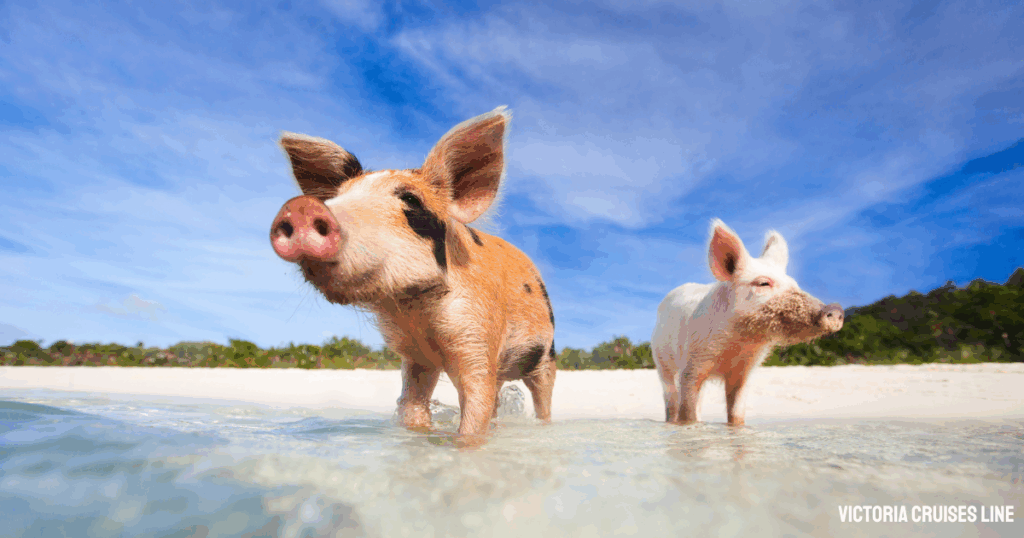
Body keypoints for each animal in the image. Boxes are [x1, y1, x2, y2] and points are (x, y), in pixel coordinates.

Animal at [269, 107, 556, 442]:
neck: (417, 312)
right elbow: (412, 407)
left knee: (542, 399)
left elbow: (475, 410)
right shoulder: (415, 357)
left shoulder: (478, 334)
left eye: (411, 201)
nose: (300, 207)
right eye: (335, 197)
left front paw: (464, 445)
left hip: (546, 355)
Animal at [651, 219, 844, 426]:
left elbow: (737, 412)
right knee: (671, 397)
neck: (740, 343)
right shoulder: (693, 362)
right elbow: (687, 411)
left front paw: (735, 427)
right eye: (763, 283)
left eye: (795, 284)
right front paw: (689, 426)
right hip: (661, 360)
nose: (835, 310)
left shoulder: (745, 371)